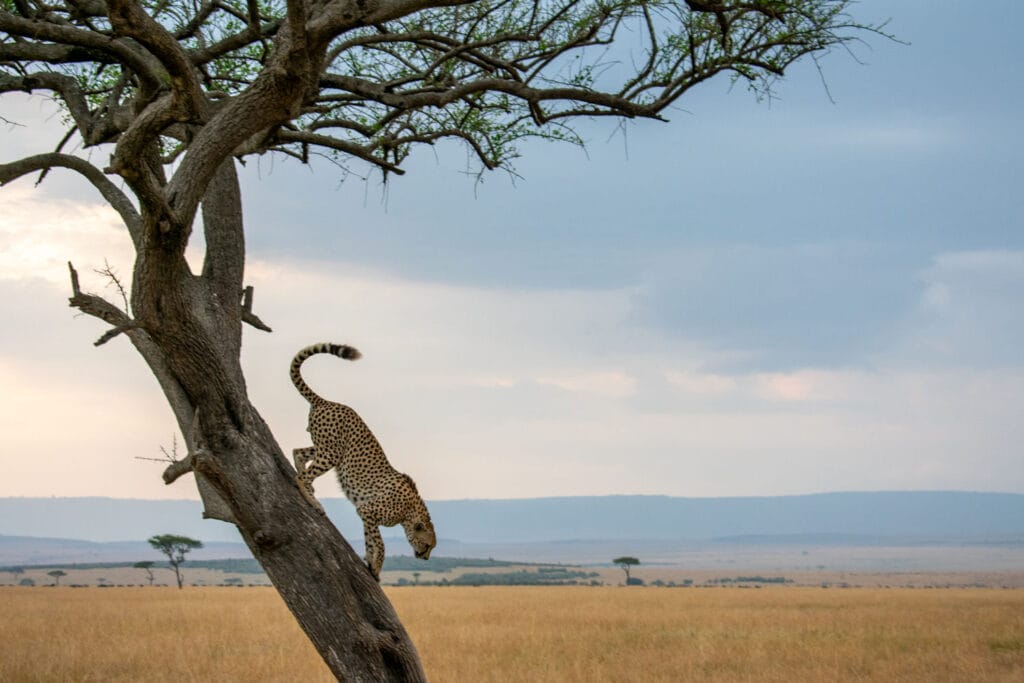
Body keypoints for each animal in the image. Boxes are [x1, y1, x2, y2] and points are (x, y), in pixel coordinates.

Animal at [290, 342, 436, 581]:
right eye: (427, 545)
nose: (425, 558)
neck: (409, 513)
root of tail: (328, 401)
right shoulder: (368, 511)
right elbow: (381, 543)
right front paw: (376, 565)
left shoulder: (366, 514)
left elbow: (370, 540)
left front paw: (371, 566)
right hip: (331, 453)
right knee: (301, 476)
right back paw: (313, 501)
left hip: (327, 448)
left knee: (297, 453)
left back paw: (309, 487)